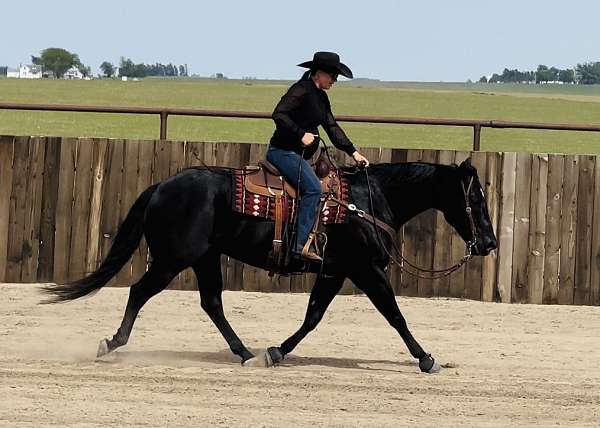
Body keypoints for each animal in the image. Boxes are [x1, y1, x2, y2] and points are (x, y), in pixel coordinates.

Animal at [43, 158, 496, 374]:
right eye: (475, 199)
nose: (489, 243)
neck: (365, 201)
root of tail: (162, 186)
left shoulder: (335, 272)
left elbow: (313, 316)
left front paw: (276, 352)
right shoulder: (366, 270)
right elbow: (395, 316)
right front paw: (427, 359)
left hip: (205, 258)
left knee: (212, 303)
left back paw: (245, 353)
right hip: (174, 259)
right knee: (141, 291)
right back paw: (112, 343)